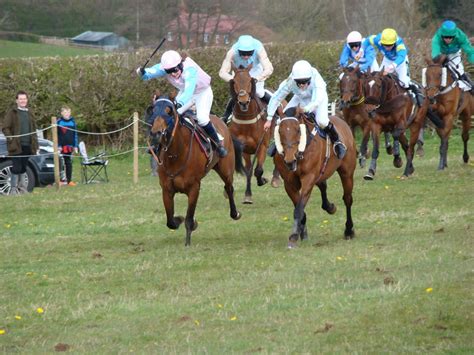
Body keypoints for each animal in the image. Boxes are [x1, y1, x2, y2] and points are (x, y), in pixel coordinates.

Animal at [150, 93, 243, 246]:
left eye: (169, 112)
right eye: (152, 110)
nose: (156, 134)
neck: (175, 155)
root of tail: (221, 120)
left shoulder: (194, 188)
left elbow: (189, 218)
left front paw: (188, 240)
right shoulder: (166, 189)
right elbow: (170, 221)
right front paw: (179, 220)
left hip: (226, 170)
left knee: (229, 188)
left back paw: (235, 213)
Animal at [230, 62, 282, 204]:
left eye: (249, 80)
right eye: (234, 81)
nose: (243, 102)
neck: (247, 121)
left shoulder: (262, 145)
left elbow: (258, 170)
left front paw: (262, 180)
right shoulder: (244, 149)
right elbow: (248, 170)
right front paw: (248, 195)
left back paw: (275, 179)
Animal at [272, 107, 358, 249]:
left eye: (298, 130)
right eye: (279, 131)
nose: (289, 160)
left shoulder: (309, 178)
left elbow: (298, 209)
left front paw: (293, 236)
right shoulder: (289, 183)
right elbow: (300, 208)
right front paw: (302, 233)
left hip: (347, 172)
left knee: (347, 199)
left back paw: (348, 230)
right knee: (323, 186)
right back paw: (329, 207)